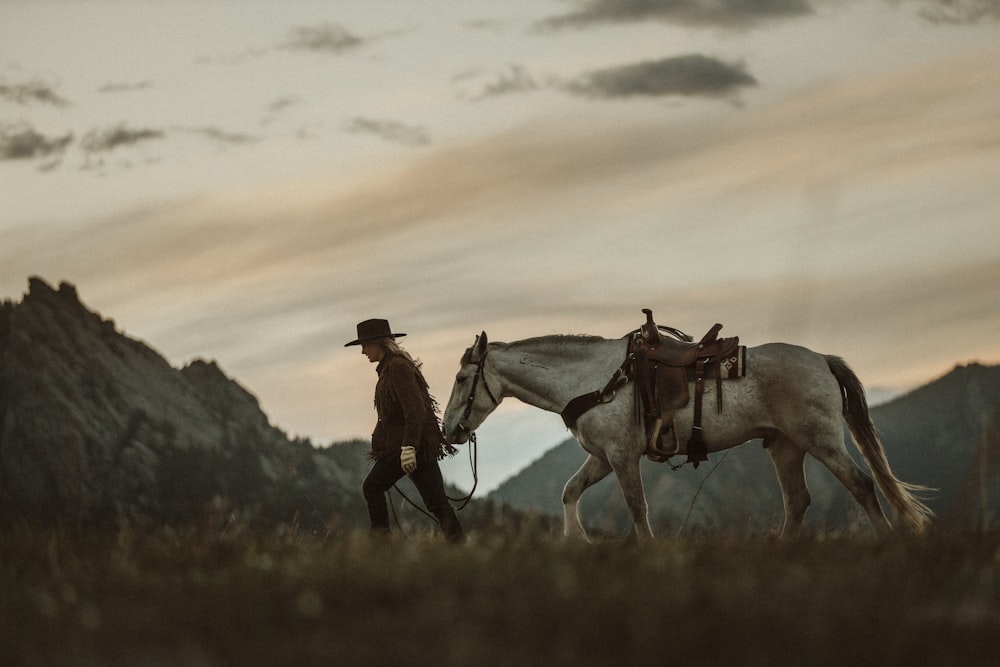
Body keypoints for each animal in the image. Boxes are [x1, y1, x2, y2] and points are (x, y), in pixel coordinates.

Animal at [442, 332, 932, 540]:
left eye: (464, 378)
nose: (450, 430)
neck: (595, 379)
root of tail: (822, 359)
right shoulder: (601, 458)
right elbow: (569, 492)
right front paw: (575, 541)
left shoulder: (622, 456)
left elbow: (637, 508)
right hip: (786, 447)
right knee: (798, 501)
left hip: (821, 440)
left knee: (861, 484)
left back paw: (888, 540)